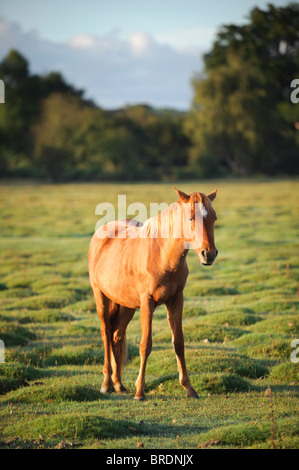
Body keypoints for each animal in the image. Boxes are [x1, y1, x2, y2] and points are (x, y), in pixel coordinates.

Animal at [88, 187, 218, 400]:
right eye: (191, 218)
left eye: (214, 218)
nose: (209, 254)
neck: (162, 257)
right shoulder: (147, 303)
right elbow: (145, 345)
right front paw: (140, 391)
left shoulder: (176, 301)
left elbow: (179, 343)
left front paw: (189, 388)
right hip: (101, 297)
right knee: (106, 333)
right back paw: (106, 384)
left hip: (127, 305)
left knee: (116, 335)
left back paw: (119, 384)